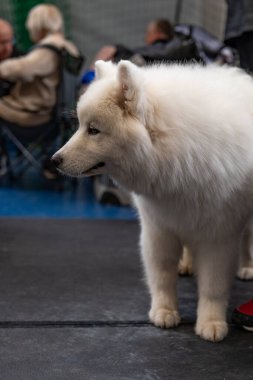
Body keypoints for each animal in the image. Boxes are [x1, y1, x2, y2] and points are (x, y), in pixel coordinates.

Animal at [52, 61, 253, 342]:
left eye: (93, 130)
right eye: (80, 126)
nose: (54, 160)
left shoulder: (218, 235)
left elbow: (213, 285)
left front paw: (211, 323)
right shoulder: (160, 227)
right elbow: (162, 275)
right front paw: (164, 311)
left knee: (247, 239)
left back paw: (247, 267)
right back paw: (187, 264)